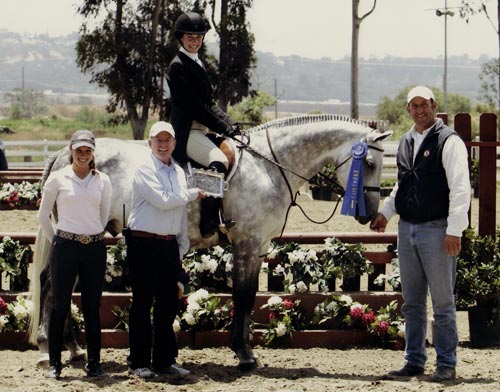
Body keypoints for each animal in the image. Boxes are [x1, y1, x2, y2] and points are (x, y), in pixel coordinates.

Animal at [29, 115, 392, 370]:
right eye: (368, 163)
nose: (369, 215)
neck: (269, 165)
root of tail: (63, 154)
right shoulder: (246, 243)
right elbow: (243, 297)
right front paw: (244, 354)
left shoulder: (257, 247)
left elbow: (248, 296)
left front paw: (246, 350)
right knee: (51, 283)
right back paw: (50, 346)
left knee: (62, 284)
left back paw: (72, 347)